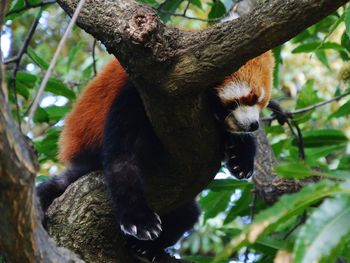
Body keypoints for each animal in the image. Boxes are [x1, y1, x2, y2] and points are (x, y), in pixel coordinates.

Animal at [37, 51, 274, 260]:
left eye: (261, 101)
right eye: (249, 98)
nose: (254, 125)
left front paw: (241, 157)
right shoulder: (137, 93)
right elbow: (121, 159)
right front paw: (138, 220)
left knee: (187, 214)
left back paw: (146, 249)